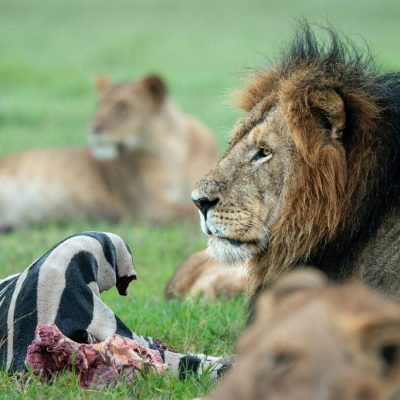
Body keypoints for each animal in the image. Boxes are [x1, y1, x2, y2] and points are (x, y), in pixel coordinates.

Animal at [0, 74, 216, 230]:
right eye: (99, 106)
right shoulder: (151, 206)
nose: (93, 128)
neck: (174, 150)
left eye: (122, 107)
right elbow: (190, 212)